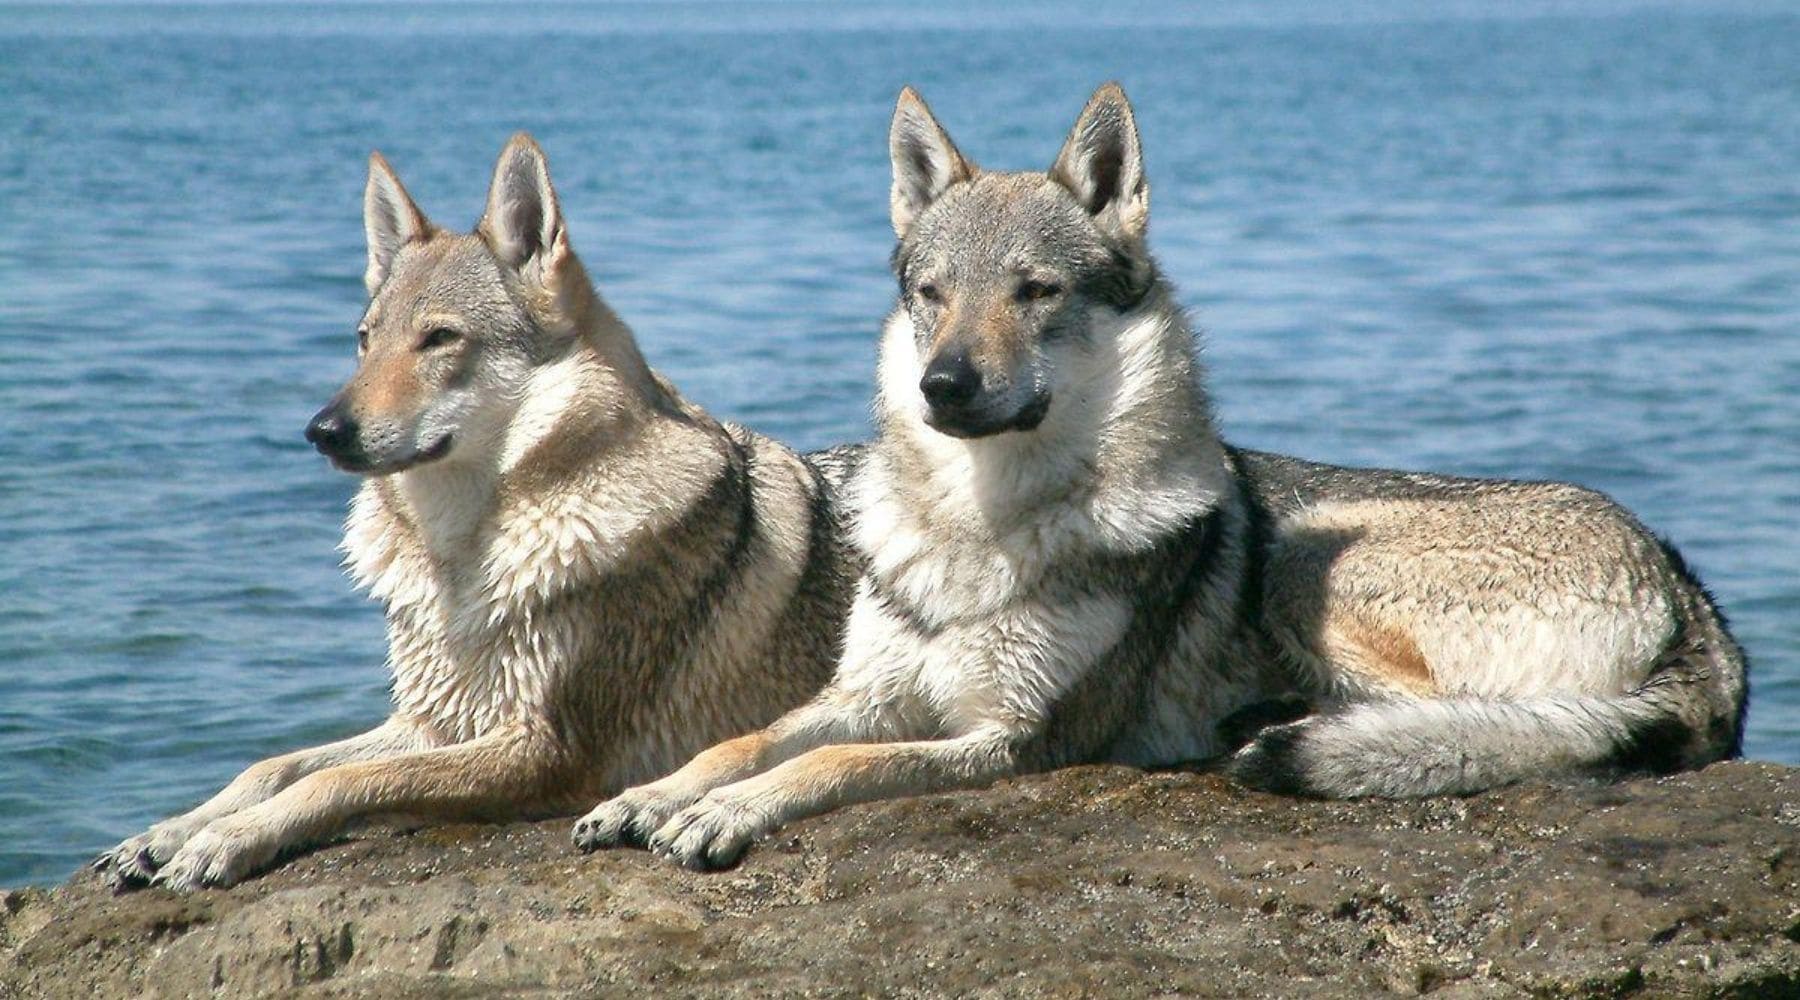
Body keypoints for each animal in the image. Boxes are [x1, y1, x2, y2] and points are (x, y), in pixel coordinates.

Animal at [94, 134, 861, 890]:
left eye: (439, 339)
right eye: (365, 340)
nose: (322, 430)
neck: (461, 558)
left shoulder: (543, 748)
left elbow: (338, 780)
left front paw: (225, 840)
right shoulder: (437, 719)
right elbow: (275, 765)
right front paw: (166, 833)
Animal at [572, 84, 1747, 871]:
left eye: (1035, 292)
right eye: (931, 294)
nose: (943, 386)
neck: (983, 526)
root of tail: (1695, 595)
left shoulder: (1011, 738)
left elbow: (828, 769)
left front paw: (721, 814)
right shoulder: (865, 692)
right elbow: (747, 738)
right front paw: (654, 795)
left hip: (1310, 568)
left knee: (1497, 725)